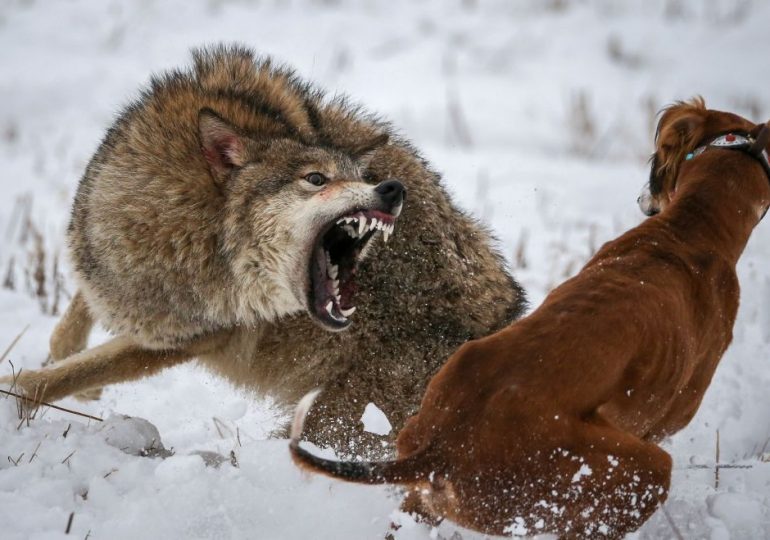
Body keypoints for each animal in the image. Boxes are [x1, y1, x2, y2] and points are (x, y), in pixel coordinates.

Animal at [3, 44, 525, 454]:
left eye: (361, 176)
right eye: (316, 179)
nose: (392, 189)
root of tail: (506, 321)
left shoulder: (181, 340)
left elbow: (65, 374)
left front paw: (16, 393)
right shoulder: (102, 260)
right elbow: (74, 323)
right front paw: (67, 363)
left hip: (337, 421)